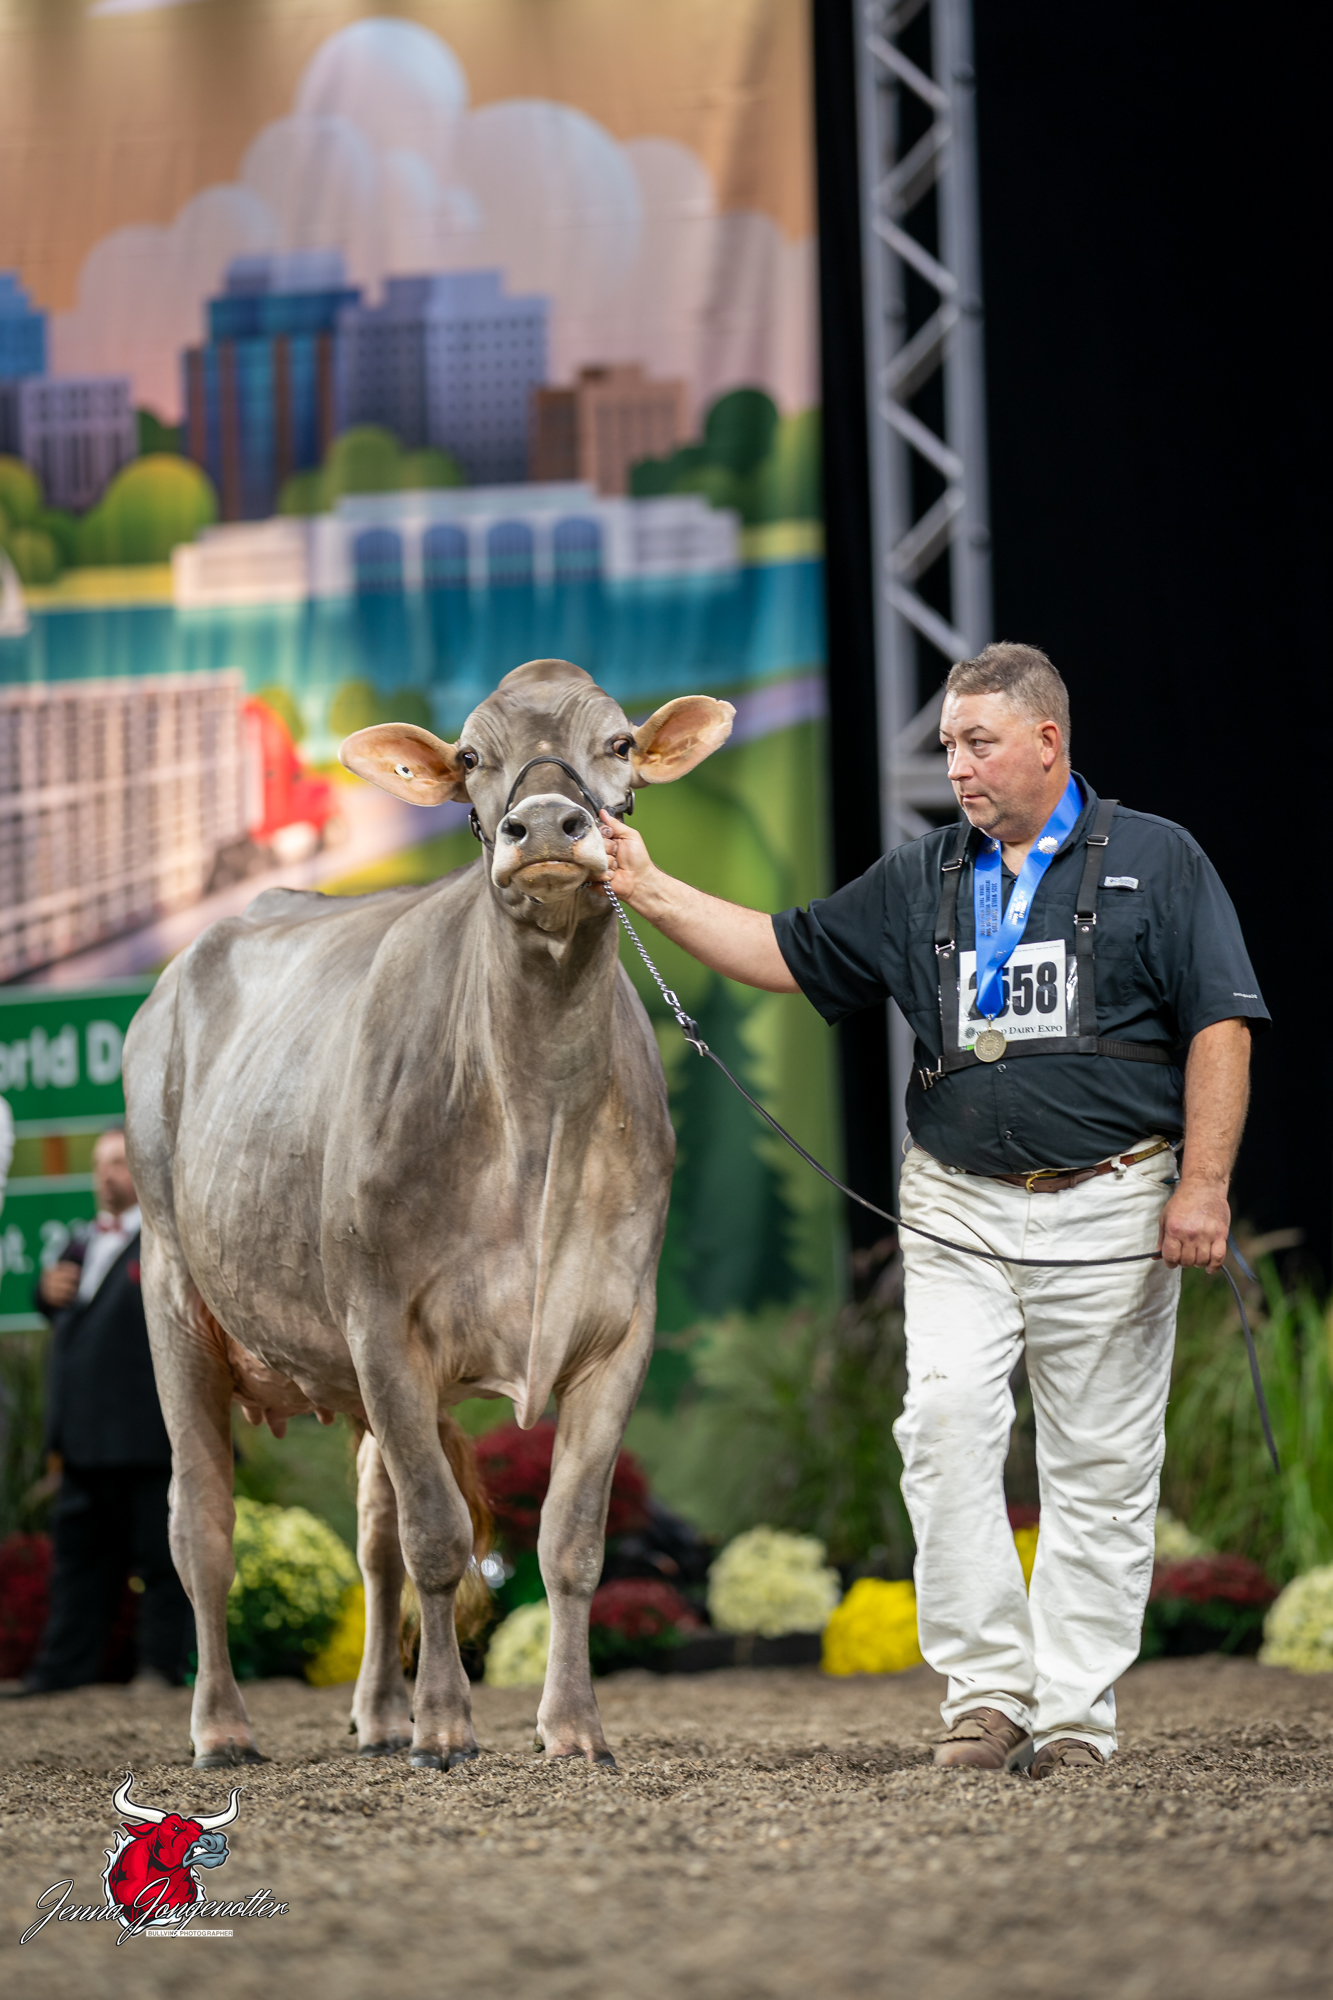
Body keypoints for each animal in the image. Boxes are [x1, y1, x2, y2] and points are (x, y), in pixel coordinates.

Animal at [123, 658, 734, 1772]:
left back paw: (376, 1714)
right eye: (470, 755)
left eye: (620, 742)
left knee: (371, 1531)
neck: (535, 1106)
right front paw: (447, 1724)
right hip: (173, 1284)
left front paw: (572, 1725)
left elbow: (569, 1541)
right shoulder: (381, 1319)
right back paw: (223, 1726)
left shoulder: (619, 1326)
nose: (547, 825)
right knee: (204, 1525)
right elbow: (440, 1537)